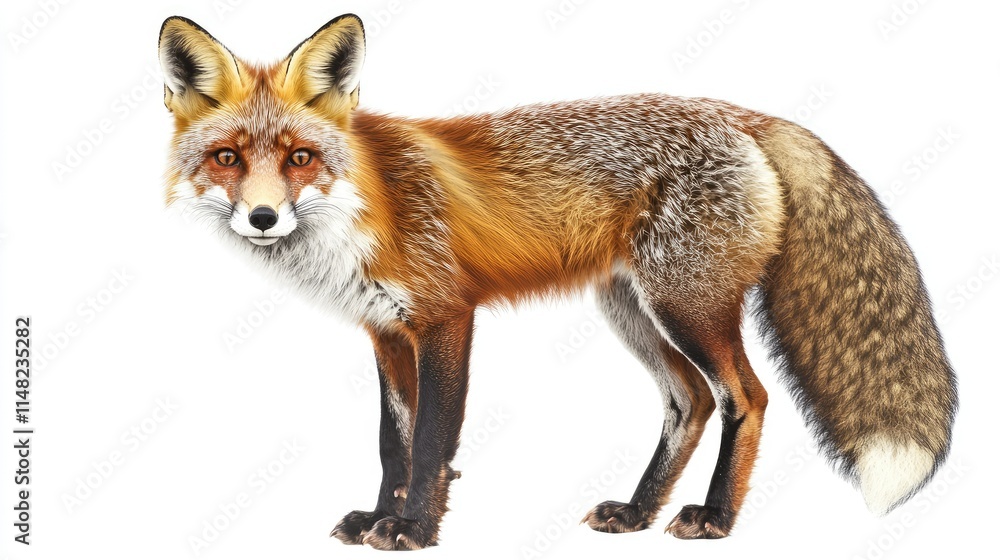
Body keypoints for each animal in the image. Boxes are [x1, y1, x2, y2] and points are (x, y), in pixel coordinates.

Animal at [158, 14, 957, 550]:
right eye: (228, 158)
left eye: (299, 157)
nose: (262, 217)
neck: (364, 206)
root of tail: (742, 114)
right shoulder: (385, 331)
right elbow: (394, 442)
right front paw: (380, 515)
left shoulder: (447, 316)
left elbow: (432, 441)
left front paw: (413, 528)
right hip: (631, 309)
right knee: (691, 400)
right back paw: (637, 513)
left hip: (686, 304)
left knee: (746, 397)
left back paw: (715, 518)